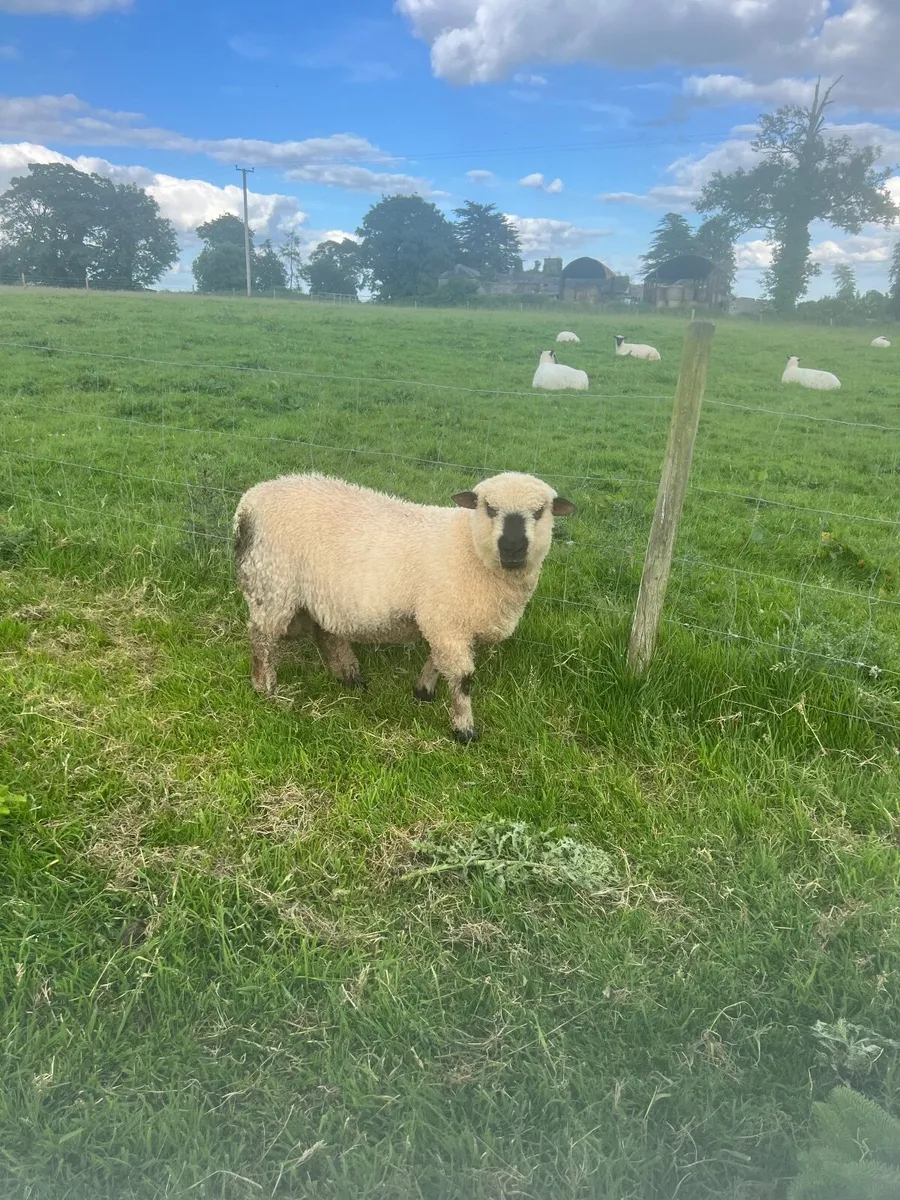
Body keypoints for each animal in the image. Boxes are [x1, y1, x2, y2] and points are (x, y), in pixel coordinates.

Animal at [233, 471, 576, 743]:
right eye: (489, 509)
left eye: (540, 512)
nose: (513, 548)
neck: (469, 547)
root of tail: (249, 502)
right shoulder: (447, 622)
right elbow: (462, 679)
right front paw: (464, 730)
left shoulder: (446, 623)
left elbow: (437, 661)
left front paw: (423, 692)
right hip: (272, 583)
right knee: (263, 640)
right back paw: (265, 688)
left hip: (317, 593)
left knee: (325, 634)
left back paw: (348, 676)